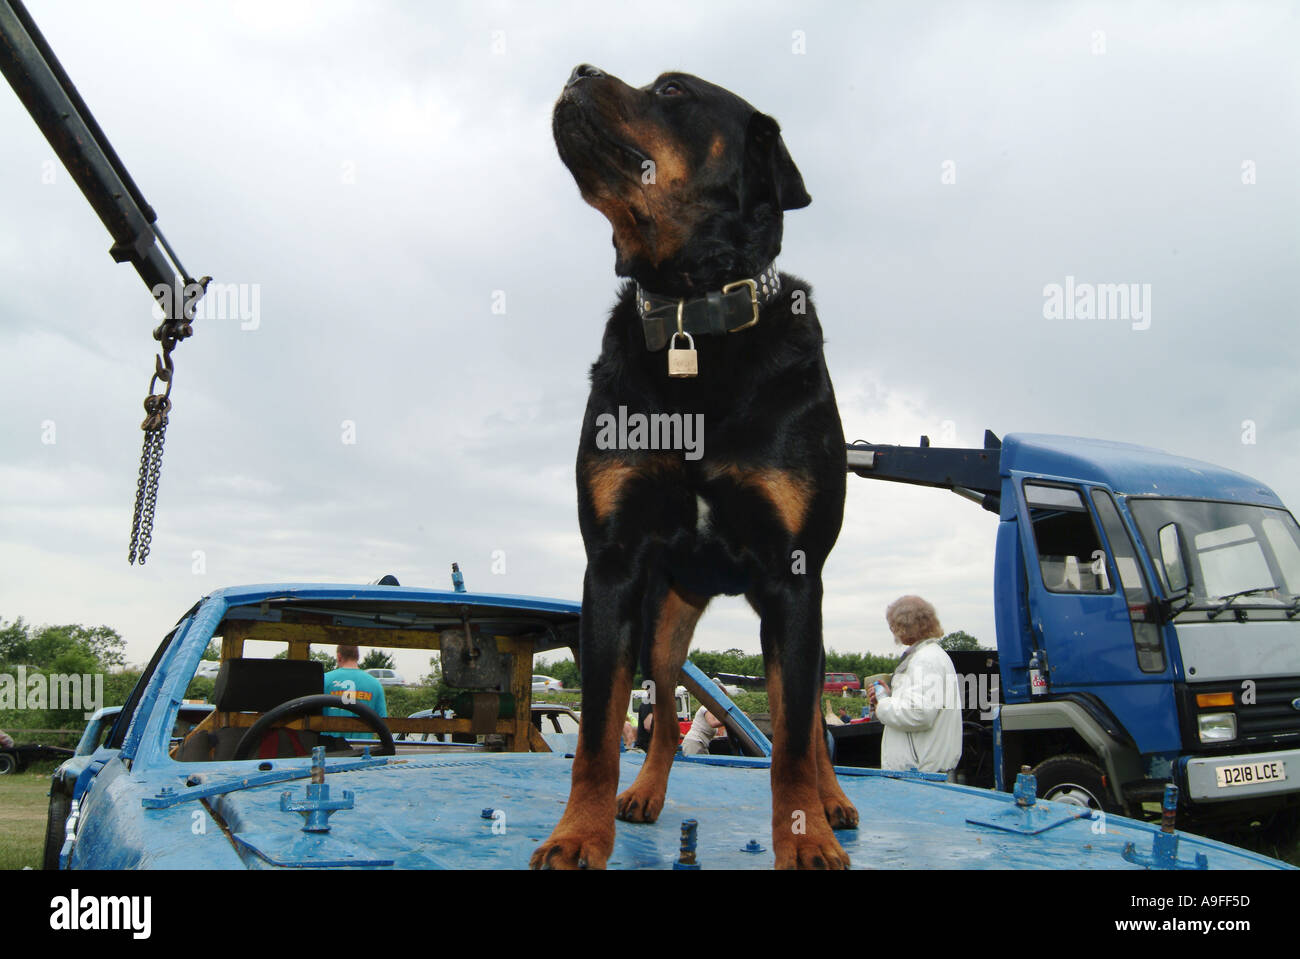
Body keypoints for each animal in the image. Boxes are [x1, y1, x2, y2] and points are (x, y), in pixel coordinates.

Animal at [533, 61, 857, 868]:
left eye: (673, 90)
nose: (577, 69)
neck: (691, 311)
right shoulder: (613, 565)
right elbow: (597, 733)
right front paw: (579, 833)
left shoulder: (793, 576)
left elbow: (791, 743)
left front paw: (804, 836)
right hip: (667, 618)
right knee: (665, 707)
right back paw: (645, 793)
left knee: (810, 723)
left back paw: (835, 802)